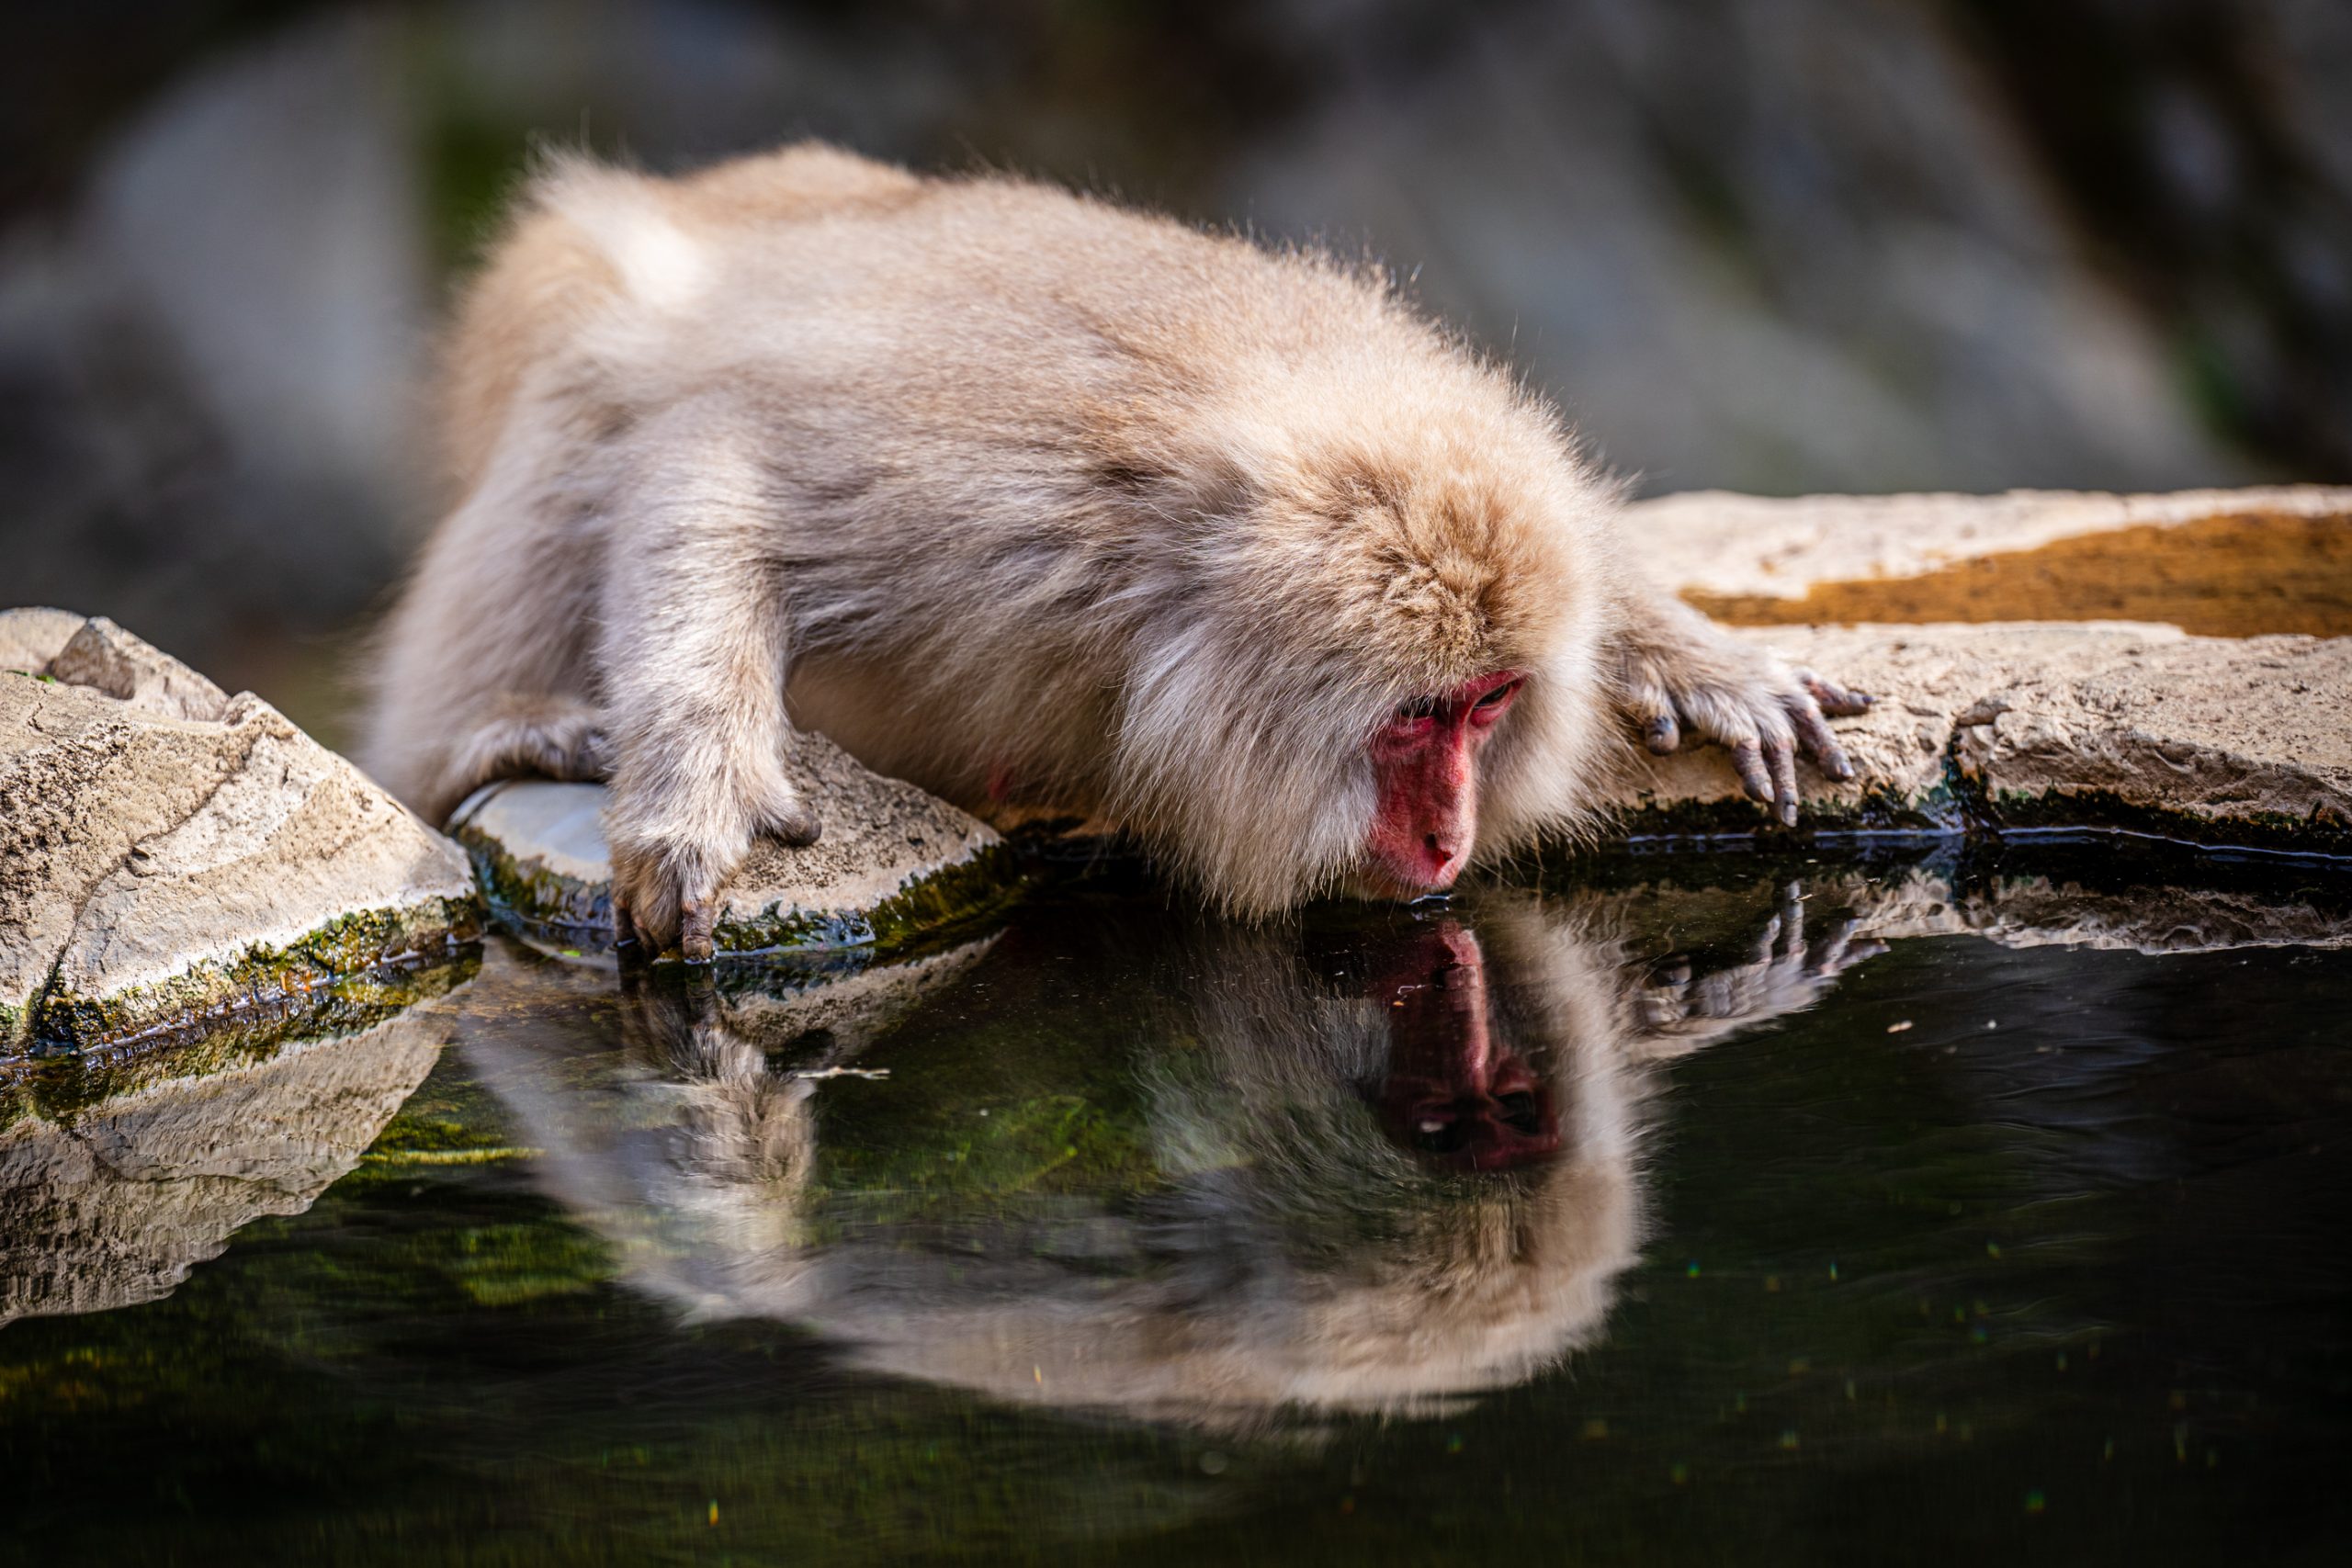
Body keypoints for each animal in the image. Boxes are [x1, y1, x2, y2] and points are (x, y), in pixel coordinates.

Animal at [364, 143, 1870, 958]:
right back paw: (491, 728)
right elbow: (707, 461)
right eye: (1417, 719)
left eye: (1491, 706)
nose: (1450, 834)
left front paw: (1699, 656)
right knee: (593, 402)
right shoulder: (1000, 518)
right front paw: (698, 788)